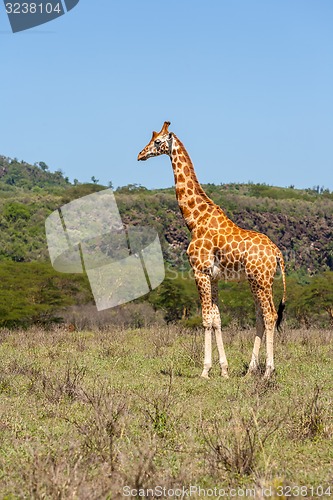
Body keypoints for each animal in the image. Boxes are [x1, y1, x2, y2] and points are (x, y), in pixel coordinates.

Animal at [137, 122, 286, 378]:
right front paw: (224, 370)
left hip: (261, 279)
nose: (140, 154)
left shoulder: (199, 271)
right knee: (260, 316)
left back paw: (268, 371)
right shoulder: (214, 276)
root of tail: (277, 252)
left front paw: (205, 370)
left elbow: (206, 319)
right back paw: (249, 371)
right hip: (257, 281)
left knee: (270, 315)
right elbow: (217, 318)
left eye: (157, 141)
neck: (194, 220)